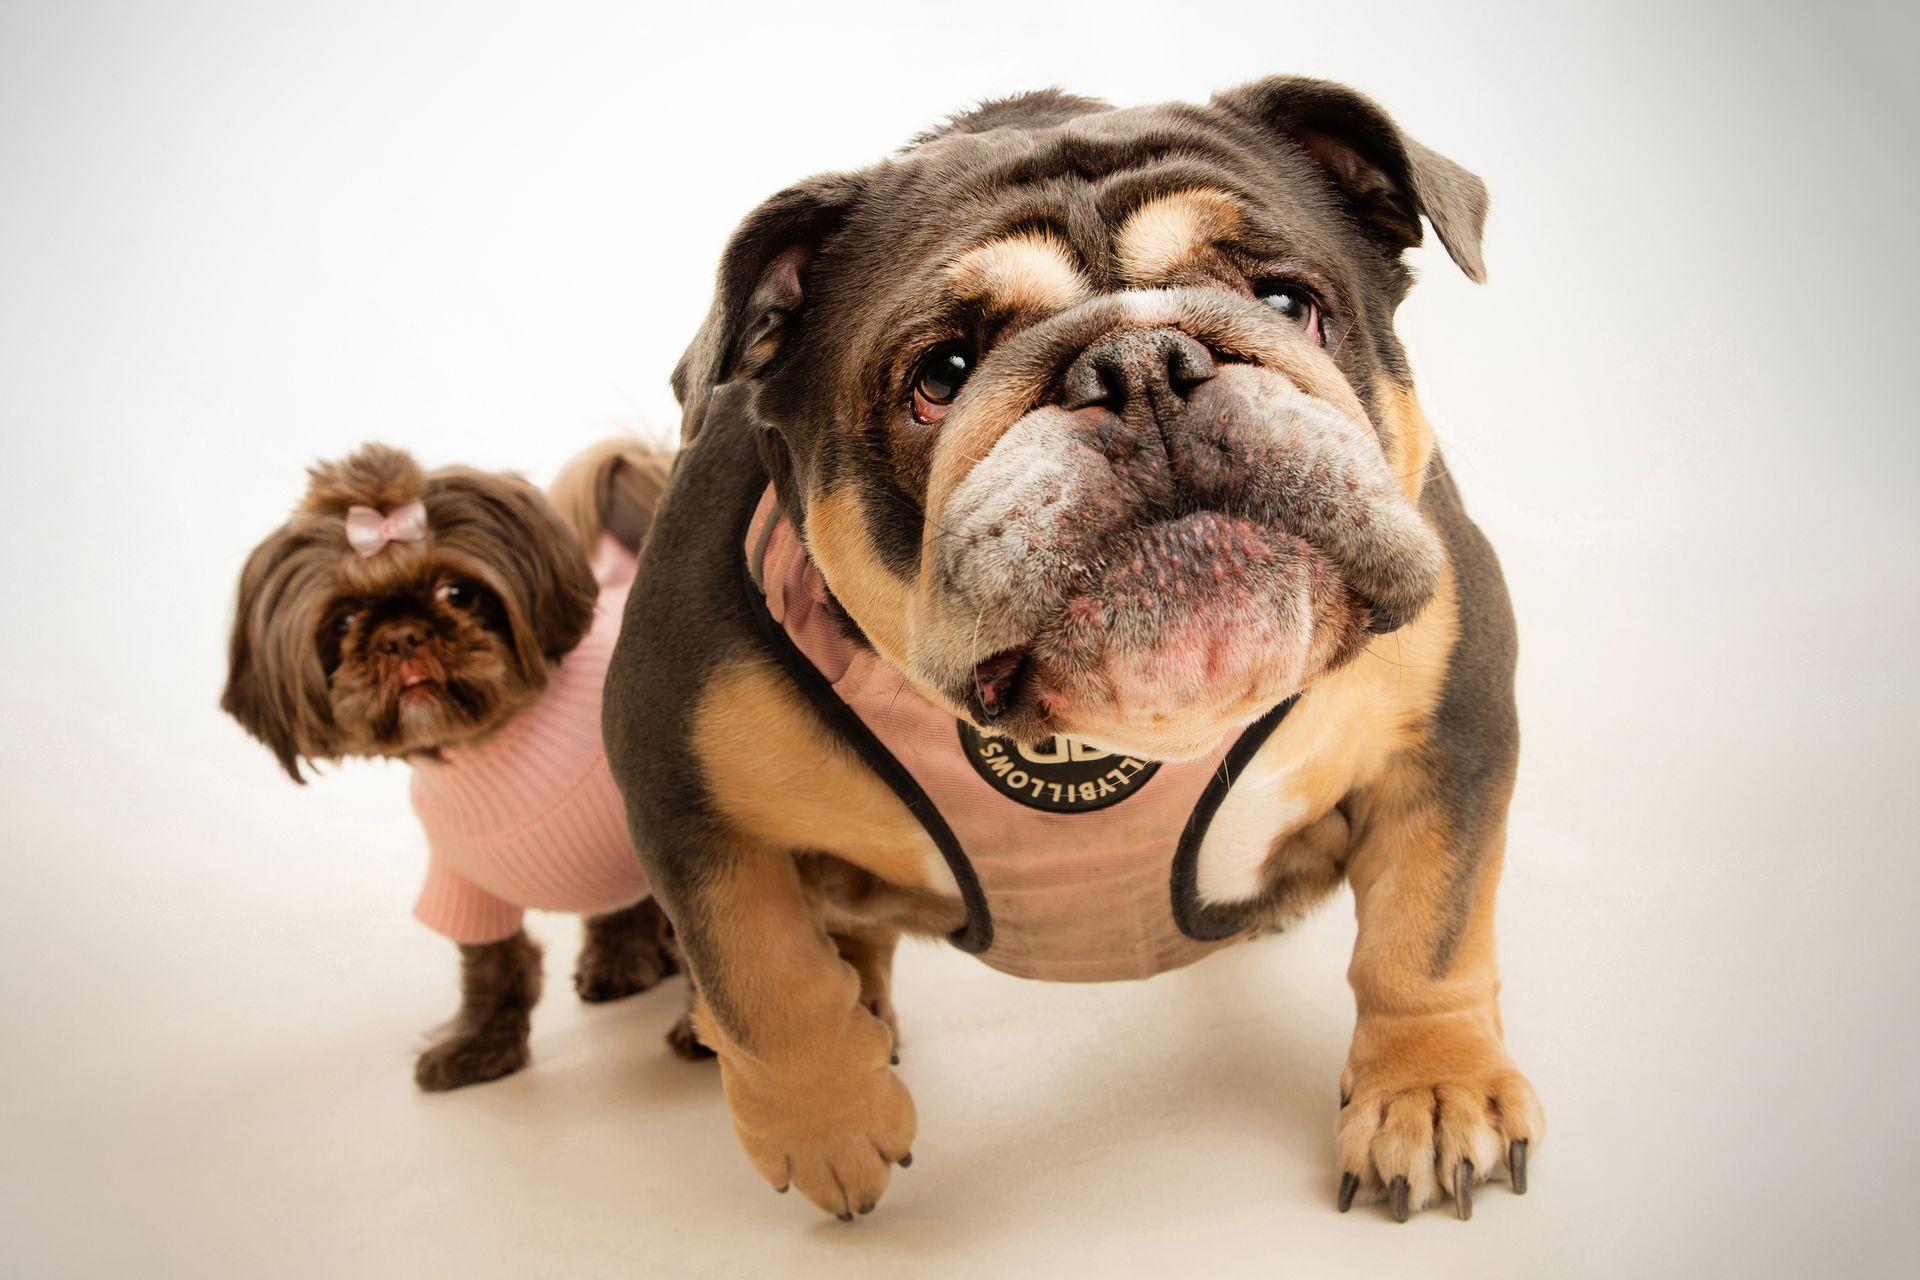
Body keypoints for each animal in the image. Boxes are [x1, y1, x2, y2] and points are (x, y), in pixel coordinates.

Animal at [223, 438, 691, 1090]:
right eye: (344, 621)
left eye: (457, 594)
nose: (400, 635)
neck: (495, 749)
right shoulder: (463, 881)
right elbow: (494, 965)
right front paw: (481, 1045)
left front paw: (709, 1035)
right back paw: (621, 962)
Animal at [604, 76, 1541, 1222]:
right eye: (942, 375)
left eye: (1288, 305)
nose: (1142, 366)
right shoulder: (674, 774)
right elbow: (758, 964)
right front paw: (827, 1123)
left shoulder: (1452, 723)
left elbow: (1428, 924)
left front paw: (1432, 1090)